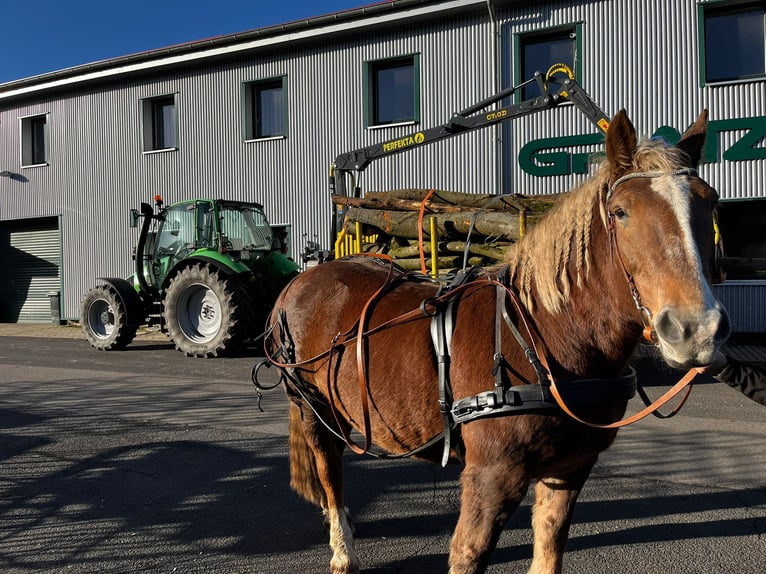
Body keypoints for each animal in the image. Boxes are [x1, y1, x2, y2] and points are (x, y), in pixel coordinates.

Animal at [261, 109, 730, 574]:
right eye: (620, 212)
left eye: (711, 201)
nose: (696, 329)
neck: (545, 336)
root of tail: (301, 280)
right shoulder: (493, 475)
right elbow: (469, 553)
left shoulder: (569, 469)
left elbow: (550, 548)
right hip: (311, 407)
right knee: (328, 468)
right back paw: (342, 548)